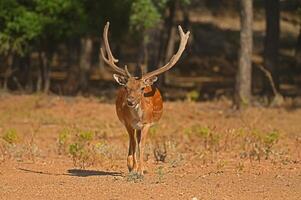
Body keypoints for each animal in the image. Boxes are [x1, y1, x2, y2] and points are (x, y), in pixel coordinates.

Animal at [101, 21, 190, 175]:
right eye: (126, 87)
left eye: (142, 88)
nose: (130, 101)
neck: (138, 117)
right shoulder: (127, 123)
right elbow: (133, 142)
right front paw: (132, 166)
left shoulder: (147, 123)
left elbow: (141, 144)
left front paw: (141, 170)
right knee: (132, 140)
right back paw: (131, 165)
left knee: (138, 140)